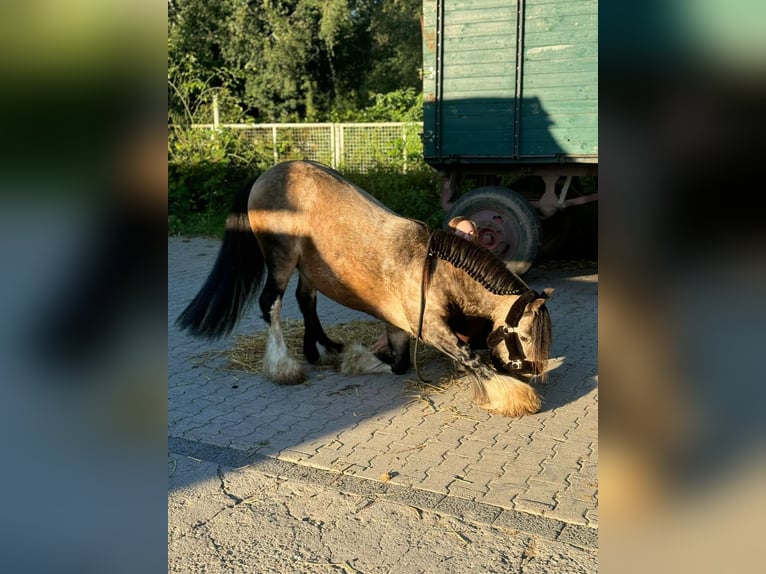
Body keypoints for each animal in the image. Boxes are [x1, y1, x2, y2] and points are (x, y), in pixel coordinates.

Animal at [178, 160, 556, 416]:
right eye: (524, 336)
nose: (534, 372)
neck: (433, 270)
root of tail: (264, 175)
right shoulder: (430, 329)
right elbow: (465, 356)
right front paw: (512, 395)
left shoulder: (397, 325)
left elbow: (401, 364)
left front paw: (353, 359)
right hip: (281, 259)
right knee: (271, 303)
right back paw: (284, 366)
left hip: (310, 266)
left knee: (306, 301)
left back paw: (321, 349)